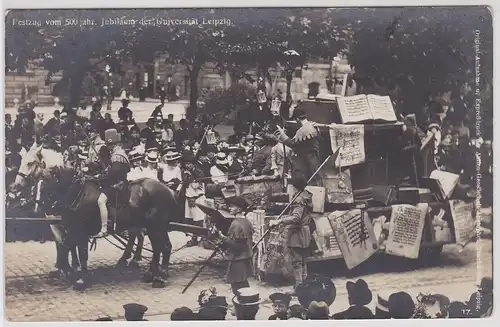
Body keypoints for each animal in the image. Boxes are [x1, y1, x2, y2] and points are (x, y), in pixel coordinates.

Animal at [10, 144, 183, 290]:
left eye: (30, 163)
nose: (16, 186)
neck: (76, 191)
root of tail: (167, 189)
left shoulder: (78, 229)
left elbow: (79, 251)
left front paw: (79, 277)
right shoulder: (62, 226)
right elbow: (66, 246)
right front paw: (67, 270)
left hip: (158, 226)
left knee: (164, 247)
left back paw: (159, 277)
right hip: (150, 226)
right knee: (154, 246)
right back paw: (147, 272)